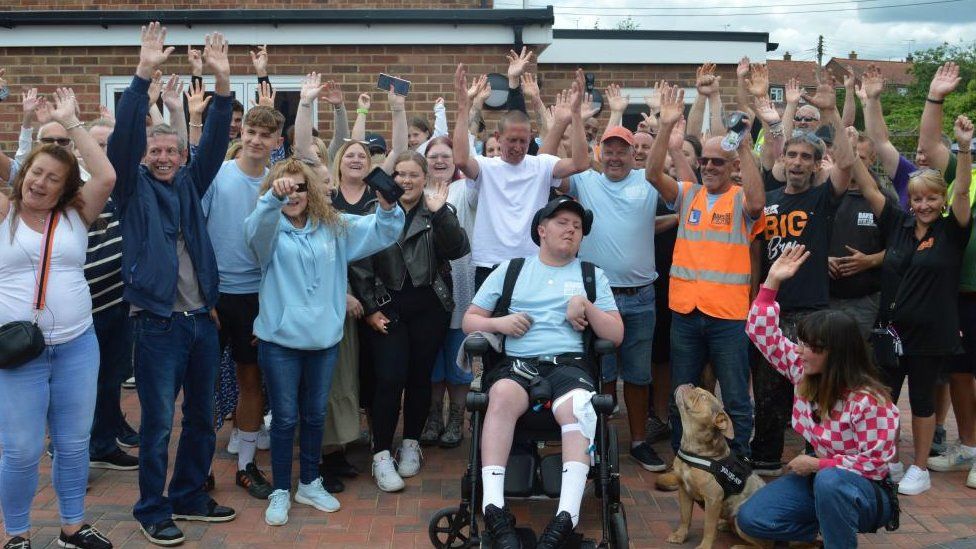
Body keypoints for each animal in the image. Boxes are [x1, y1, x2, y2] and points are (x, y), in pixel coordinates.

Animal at [668, 386, 768, 548]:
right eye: (696, 388)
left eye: (703, 397)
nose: (689, 384)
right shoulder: (684, 490)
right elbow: (685, 517)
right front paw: (680, 535)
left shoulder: (713, 500)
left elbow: (708, 528)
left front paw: (704, 546)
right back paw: (725, 525)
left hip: (741, 519)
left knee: (765, 545)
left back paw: (740, 546)